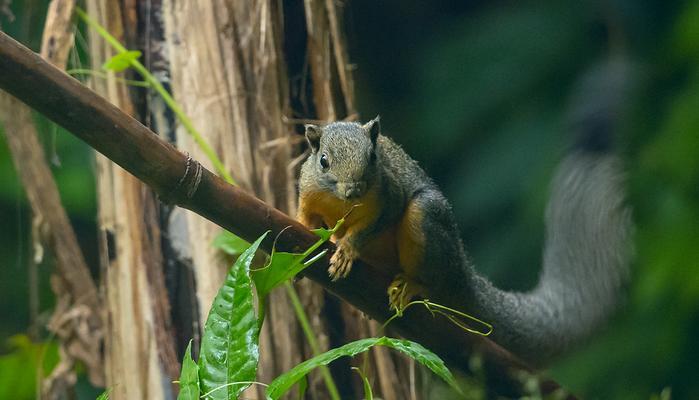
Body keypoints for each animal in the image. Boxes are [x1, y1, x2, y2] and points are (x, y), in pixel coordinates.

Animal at [296, 61, 636, 364]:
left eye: (372, 157)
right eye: (323, 161)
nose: (354, 189)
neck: (339, 202)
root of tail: (461, 270)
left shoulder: (387, 194)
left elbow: (375, 224)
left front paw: (347, 249)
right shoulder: (308, 190)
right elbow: (305, 216)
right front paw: (303, 234)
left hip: (427, 223)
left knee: (429, 268)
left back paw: (412, 286)